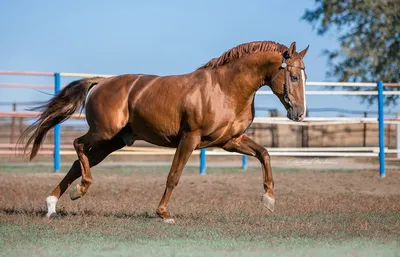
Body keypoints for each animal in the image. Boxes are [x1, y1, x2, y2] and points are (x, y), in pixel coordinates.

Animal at [20, 40, 310, 222]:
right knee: (78, 146)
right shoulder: (190, 139)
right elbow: (174, 176)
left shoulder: (231, 141)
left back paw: (53, 205)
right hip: (103, 132)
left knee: (76, 164)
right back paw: (80, 190)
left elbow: (265, 154)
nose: (299, 113)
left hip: (112, 142)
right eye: (294, 77)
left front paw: (269, 199)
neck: (224, 89)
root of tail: (102, 82)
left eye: (305, 76)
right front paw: (163, 213)